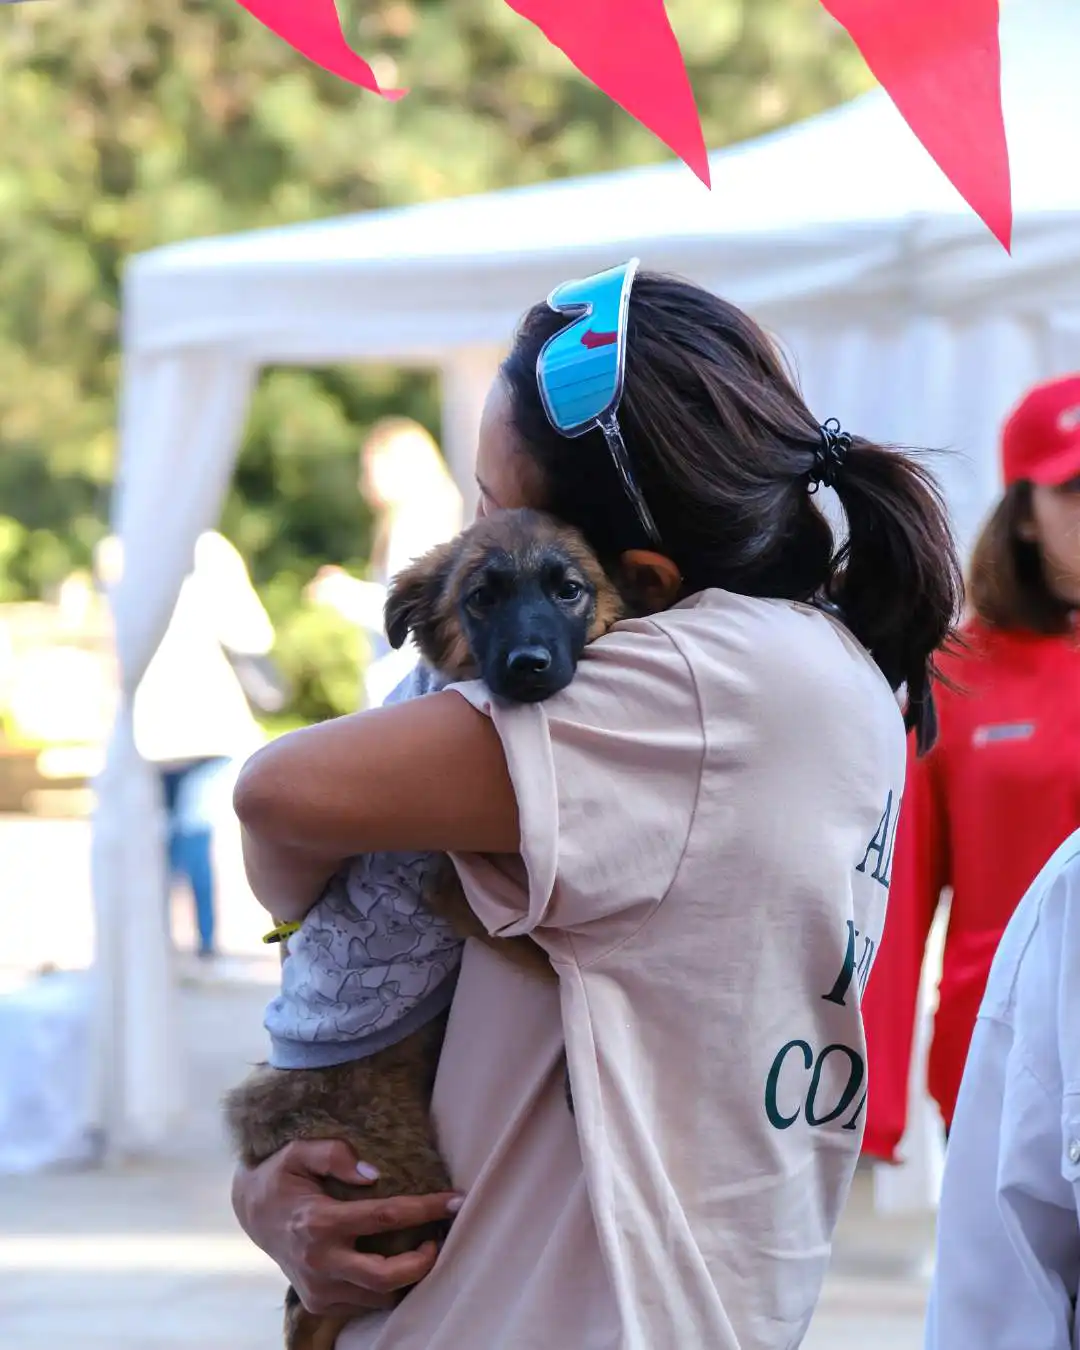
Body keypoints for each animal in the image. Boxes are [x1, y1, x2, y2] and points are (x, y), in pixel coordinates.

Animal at [225, 509, 630, 1350]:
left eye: (568, 589)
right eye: (481, 598)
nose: (530, 667)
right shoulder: (455, 890)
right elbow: (554, 956)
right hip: (399, 1188)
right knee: (318, 1302)